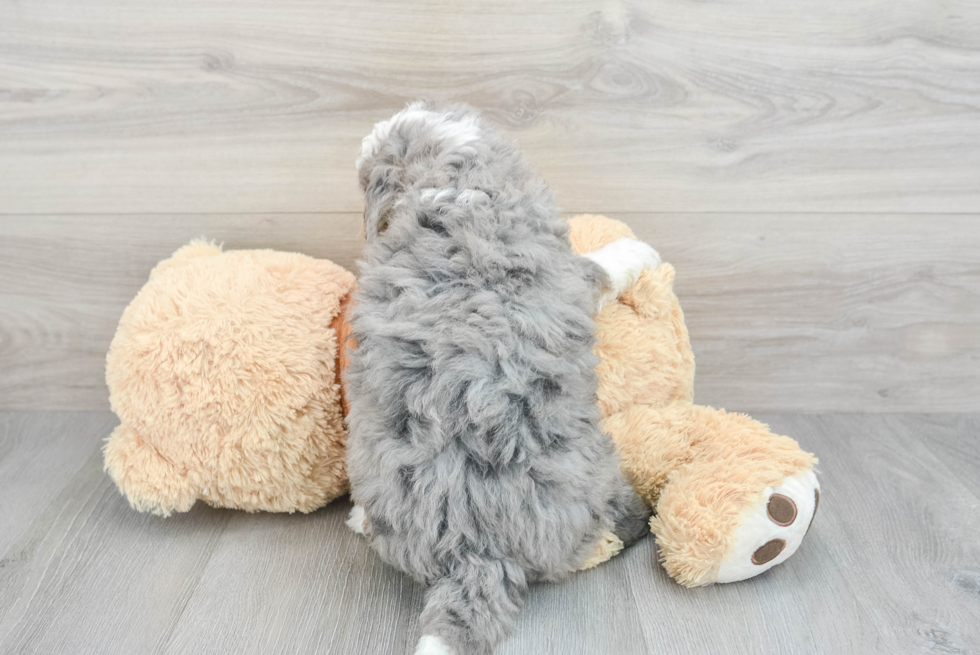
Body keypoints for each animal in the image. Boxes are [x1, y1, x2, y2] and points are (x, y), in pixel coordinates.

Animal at [344, 104, 660, 655]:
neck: (452, 184)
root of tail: (474, 549)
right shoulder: (572, 273)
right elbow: (603, 265)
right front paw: (637, 249)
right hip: (592, 477)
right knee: (608, 523)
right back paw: (632, 523)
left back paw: (359, 518)